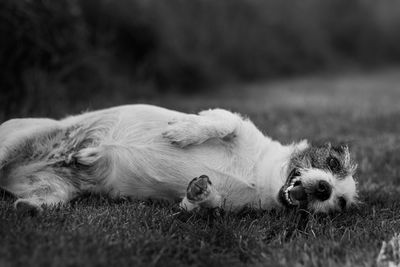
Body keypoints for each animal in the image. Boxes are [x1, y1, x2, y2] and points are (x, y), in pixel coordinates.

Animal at [0, 104, 358, 214]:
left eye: (341, 203)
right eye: (331, 163)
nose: (325, 190)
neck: (260, 176)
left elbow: (202, 205)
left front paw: (199, 193)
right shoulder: (235, 124)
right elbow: (222, 122)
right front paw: (181, 133)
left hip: (55, 191)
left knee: (43, 199)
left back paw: (29, 208)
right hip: (13, 142)